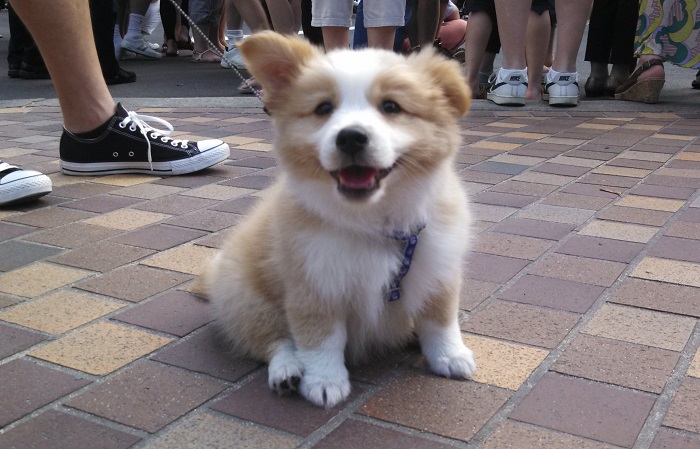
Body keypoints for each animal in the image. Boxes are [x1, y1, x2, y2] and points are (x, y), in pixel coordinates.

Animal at [202, 31, 476, 408]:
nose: (351, 137)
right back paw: (287, 371)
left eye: (391, 107)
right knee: (272, 340)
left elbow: (440, 321)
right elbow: (320, 339)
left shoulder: (438, 269)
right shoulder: (314, 284)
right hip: (245, 300)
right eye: (323, 109)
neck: (371, 220)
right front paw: (324, 382)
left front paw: (451, 357)